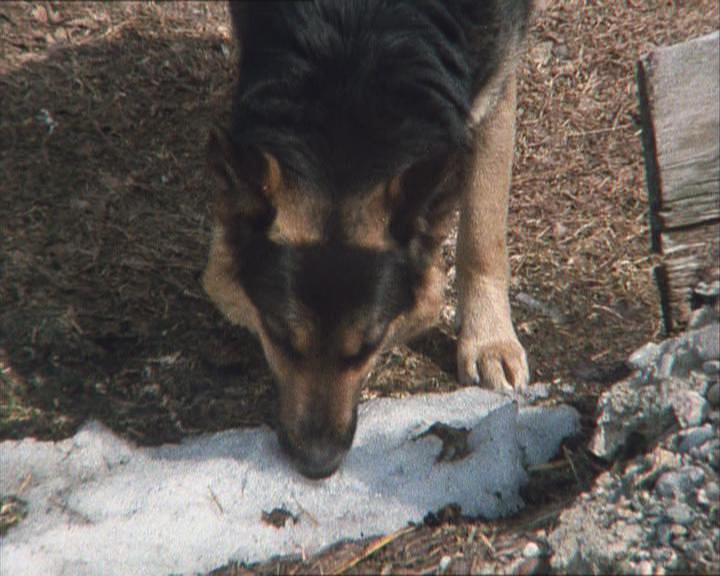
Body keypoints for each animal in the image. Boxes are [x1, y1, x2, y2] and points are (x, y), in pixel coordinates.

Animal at [202, 0, 536, 476]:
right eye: (279, 336)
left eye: (370, 345)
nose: (317, 465)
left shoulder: (495, 79)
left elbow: (483, 230)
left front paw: (489, 339)